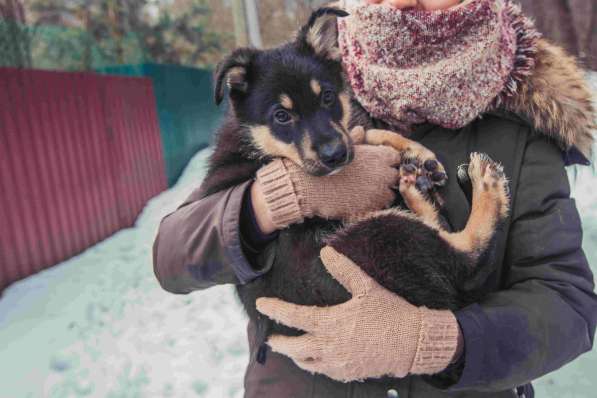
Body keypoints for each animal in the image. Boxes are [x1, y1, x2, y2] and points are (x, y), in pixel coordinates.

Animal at [201, 7, 508, 366]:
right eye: (281, 115)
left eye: (327, 97)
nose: (335, 155)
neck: (254, 142)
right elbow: (361, 139)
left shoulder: (345, 136)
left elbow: (364, 133)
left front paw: (415, 152)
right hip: (373, 237)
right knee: (466, 257)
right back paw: (484, 185)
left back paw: (415, 189)